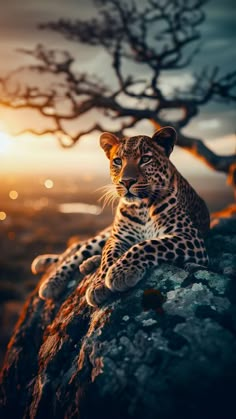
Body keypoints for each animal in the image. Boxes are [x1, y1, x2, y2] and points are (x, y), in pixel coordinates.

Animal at [31, 126, 210, 306]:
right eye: (118, 161)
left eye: (145, 159)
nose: (127, 181)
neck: (142, 208)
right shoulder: (117, 237)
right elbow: (109, 256)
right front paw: (99, 284)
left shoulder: (190, 237)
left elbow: (147, 244)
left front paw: (120, 272)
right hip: (104, 236)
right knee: (76, 252)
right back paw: (52, 280)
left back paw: (87, 264)